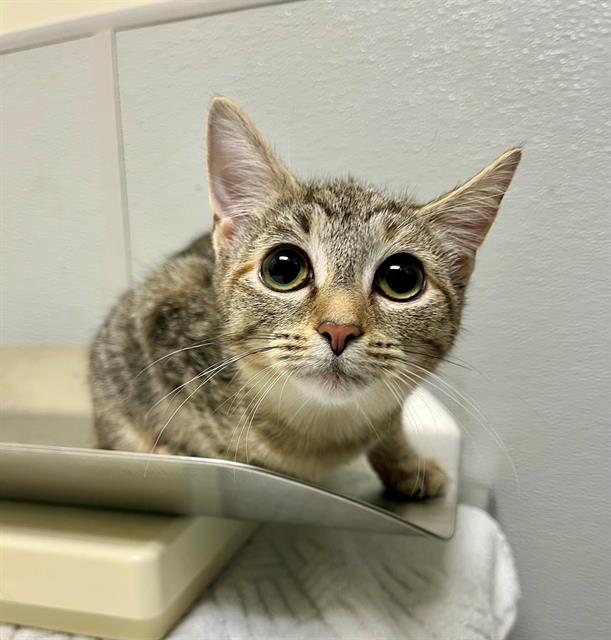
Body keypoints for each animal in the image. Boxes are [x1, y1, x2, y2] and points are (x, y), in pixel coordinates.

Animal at [91, 97, 520, 500]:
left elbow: (389, 425)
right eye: (283, 268)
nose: (339, 329)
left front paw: (405, 465)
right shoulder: (158, 313)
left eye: (402, 279)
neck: (319, 434)